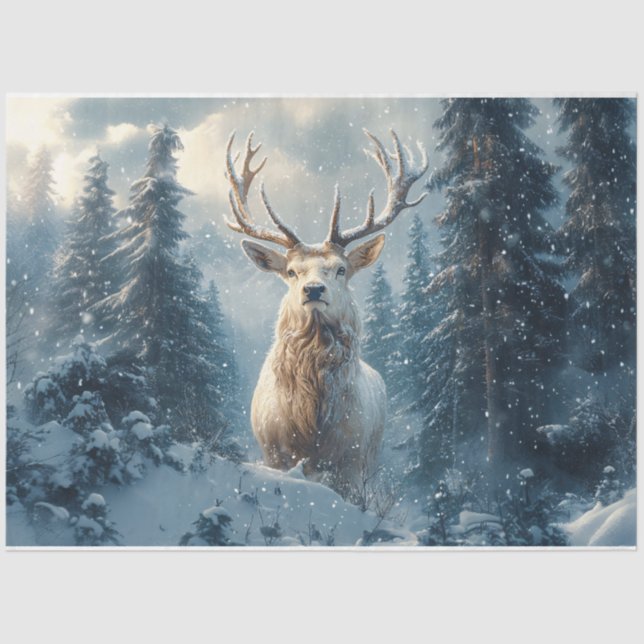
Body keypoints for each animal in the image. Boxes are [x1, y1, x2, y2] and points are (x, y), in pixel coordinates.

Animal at [224, 128, 428, 496]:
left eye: (341, 269)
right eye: (291, 271)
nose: (314, 290)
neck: (311, 424)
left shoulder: (351, 460)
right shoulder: (273, 452)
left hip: (372, 455)